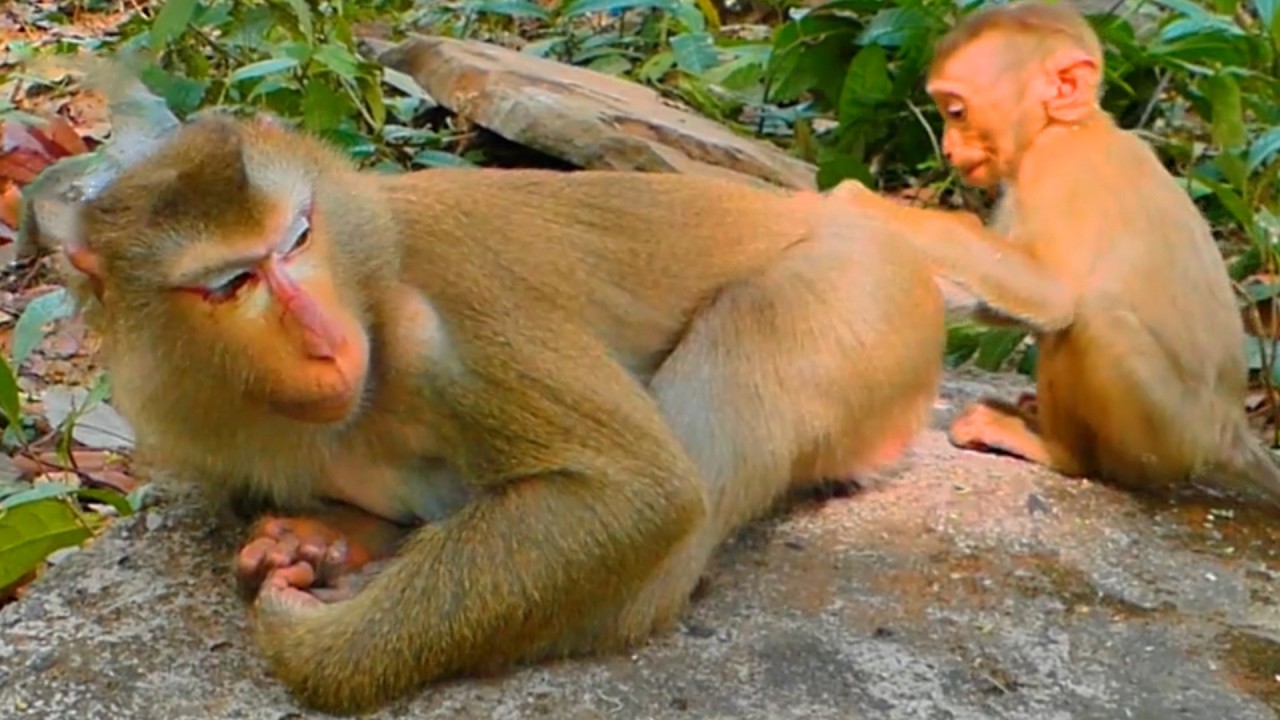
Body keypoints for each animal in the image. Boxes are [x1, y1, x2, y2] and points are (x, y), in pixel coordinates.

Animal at [36, 113, 947, 714]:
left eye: (296, 238)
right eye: (233, 284)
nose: (325, 338)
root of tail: (835, 210)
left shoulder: (451, 307)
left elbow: (633, 494)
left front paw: (318, 646)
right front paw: (317, 539)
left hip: (850, 295)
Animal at [833, 1, 1280, 509]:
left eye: (957, 111)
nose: (947, 147)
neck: (1067, 126)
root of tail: (1232, 432)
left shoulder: (1053, 172)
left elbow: (1052, 295)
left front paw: (868, 207)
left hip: (1171, 439)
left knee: (1095, 318)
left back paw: (1060, 451)